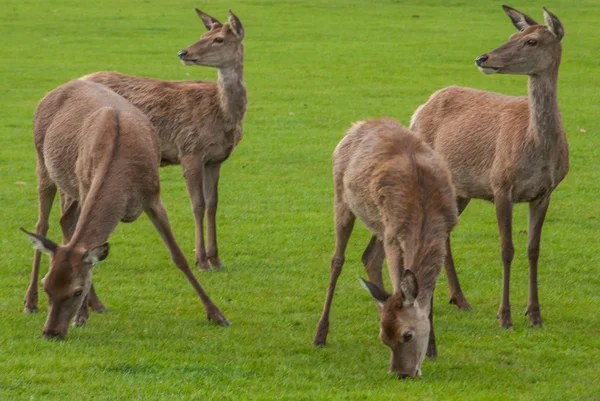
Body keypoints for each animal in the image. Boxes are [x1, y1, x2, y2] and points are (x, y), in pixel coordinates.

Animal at [20, 77, 227, 338]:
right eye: (46, 285)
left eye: (77, 290)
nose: (50, 333)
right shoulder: (86, 185)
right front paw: (80, 317)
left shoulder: (153, 196)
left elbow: (178, 256)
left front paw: (217, 314)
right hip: (43, 162)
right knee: (43, 224)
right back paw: (31, 302)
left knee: (63, 222)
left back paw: (95, 304)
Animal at [82, 8, 246, 276]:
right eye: (202, 35)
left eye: (218, 39)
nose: (183, 52)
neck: (223, 116)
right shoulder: (189, 149)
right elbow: (197, 204)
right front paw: (201, 261)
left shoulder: (216, 159)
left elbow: (213, 204)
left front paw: (217, 259)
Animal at [312, 119, 458, 378]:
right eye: (384, 339)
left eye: (407, 335)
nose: (402, 374)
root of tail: (357, 125)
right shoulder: (393, 236)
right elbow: (400, 281)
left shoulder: (444, 231)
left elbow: (426, 297)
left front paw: (432, 350)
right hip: (342, 199)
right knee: (337, 259)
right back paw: (320, 334)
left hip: (380, 224)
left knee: (369, 257)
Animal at [410, 5, 568, 328]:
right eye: (511, 36)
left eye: (531, 41)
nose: (483, 58)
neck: (538, 149)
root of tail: (417, 111)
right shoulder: (501, 185)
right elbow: (506, 249)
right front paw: (504, 316)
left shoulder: (545, 192)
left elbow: (533, 249)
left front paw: (534, 315)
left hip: (461, 191)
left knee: (442, 233)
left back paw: (459, 299)